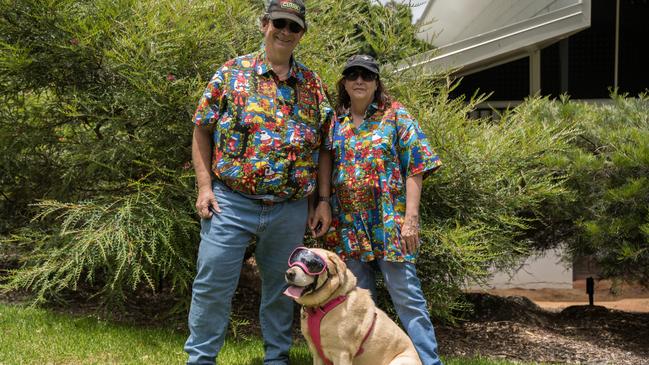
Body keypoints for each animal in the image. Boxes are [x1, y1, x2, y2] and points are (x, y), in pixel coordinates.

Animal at [284, 246, 420, 362]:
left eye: (312, 264)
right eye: (294, 260)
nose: (289, 273)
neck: (323, 306)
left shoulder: (341, 353)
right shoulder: (317, 355)